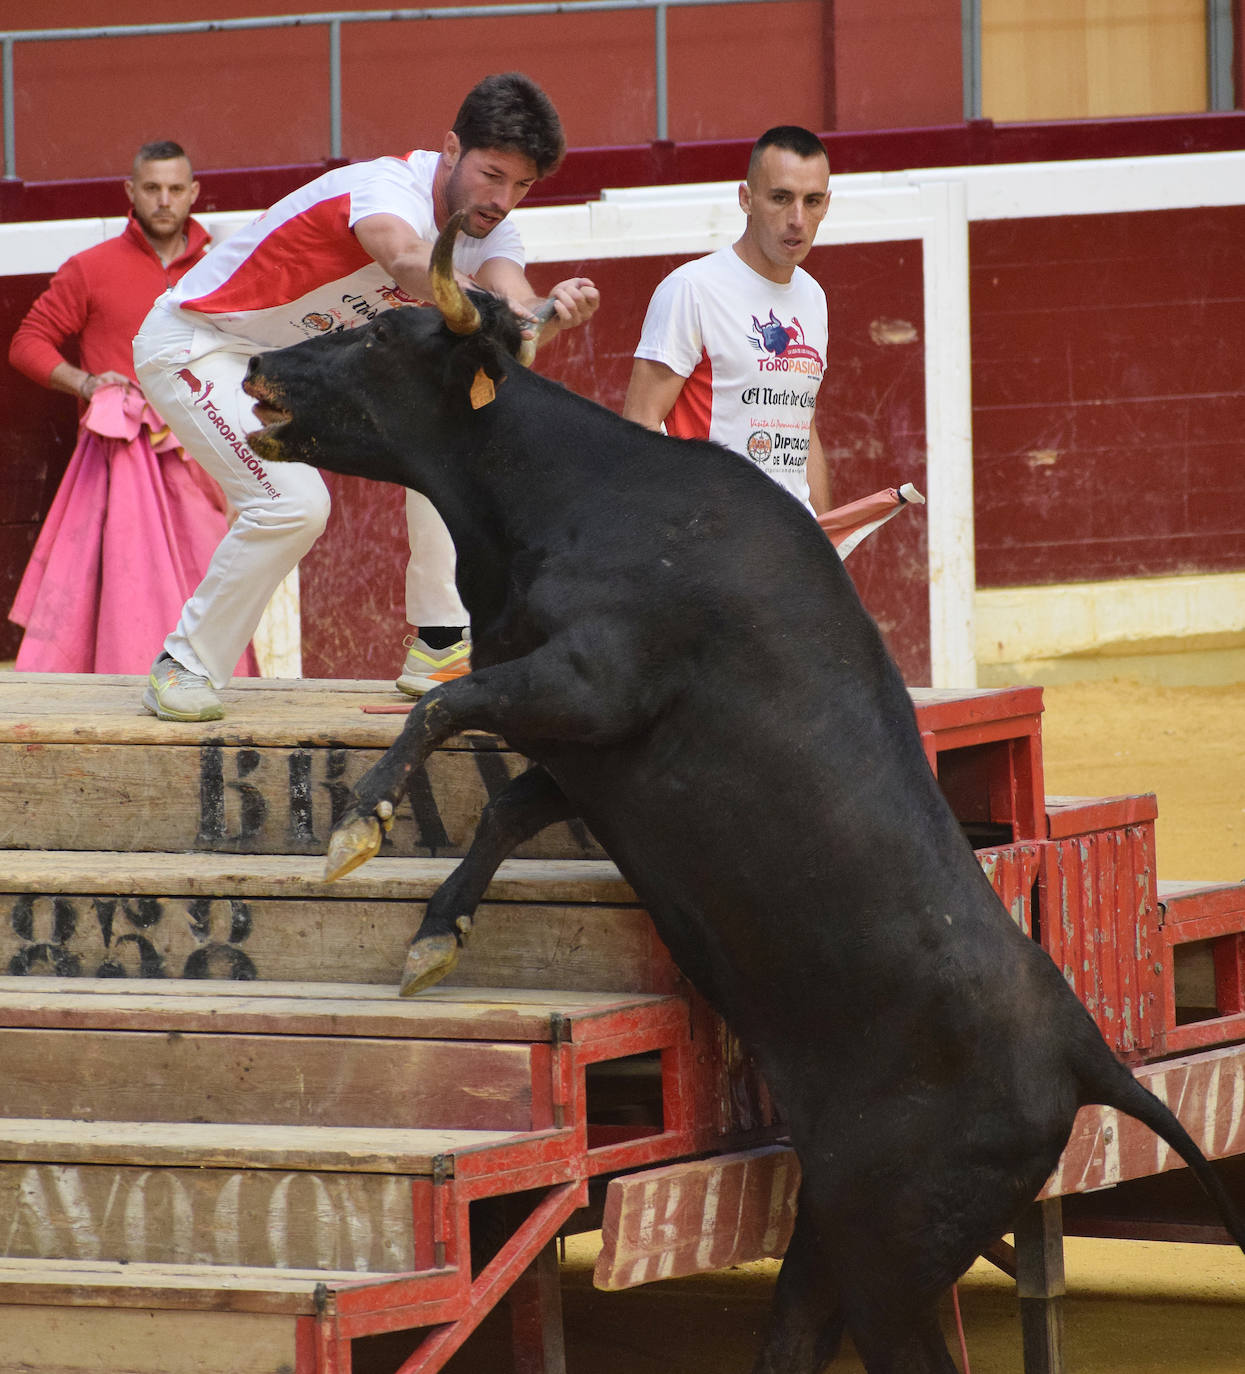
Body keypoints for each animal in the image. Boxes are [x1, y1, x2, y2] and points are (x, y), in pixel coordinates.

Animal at [244, 236, 1242, 1374]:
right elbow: (506, 808)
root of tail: (1084, 1048)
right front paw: (432, 937)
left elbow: (444, 704)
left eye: (379, 334)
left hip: (891, 1251)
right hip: (832, 1230)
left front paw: (354, 830)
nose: (259, 364)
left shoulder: (589, 683)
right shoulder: (581, 741)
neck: (568, 493)